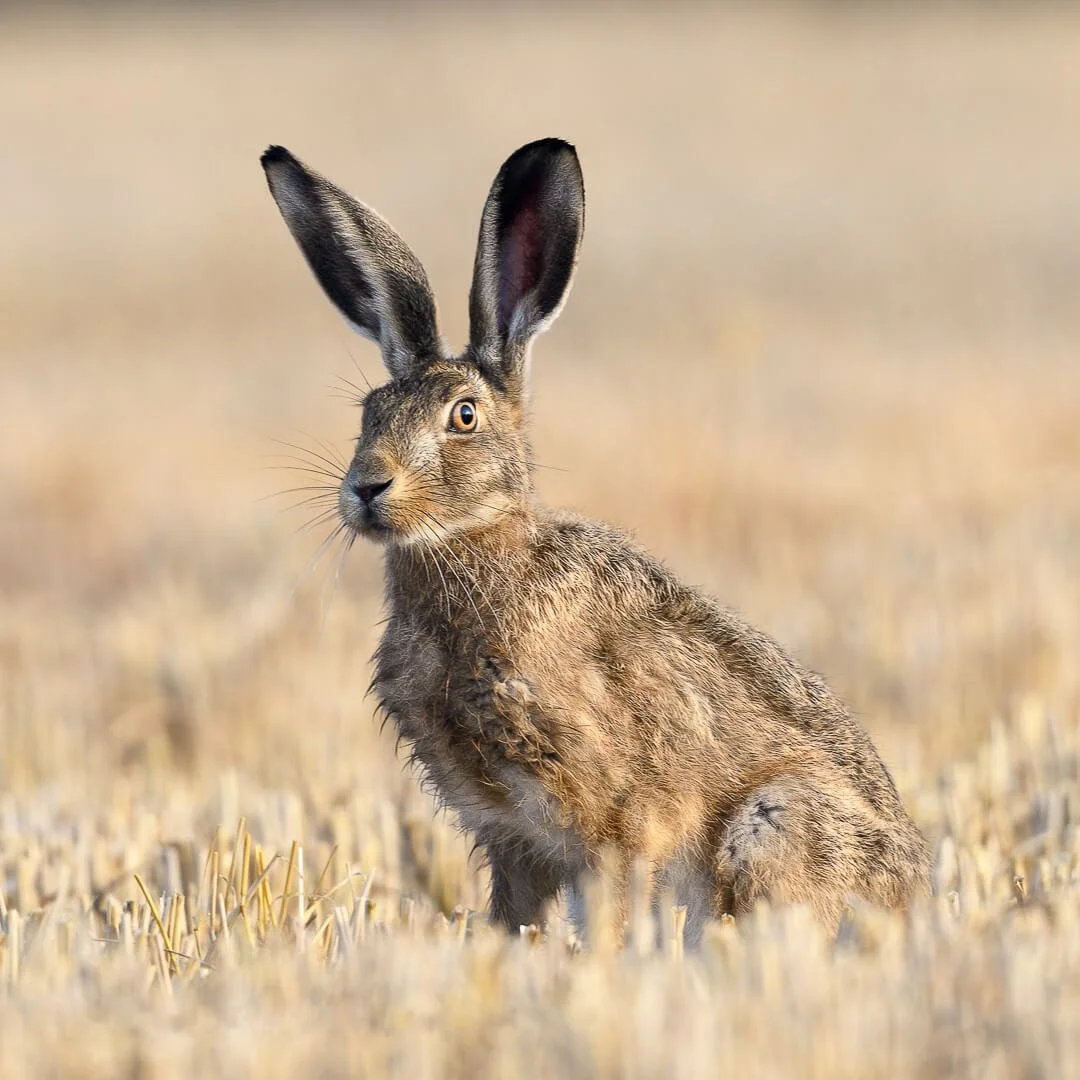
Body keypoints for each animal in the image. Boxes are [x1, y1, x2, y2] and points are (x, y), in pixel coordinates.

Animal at [260, 137, 931, 941]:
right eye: (369, 410)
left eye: (463, 416)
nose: (366, 488)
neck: (479, 548)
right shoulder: (509, 837)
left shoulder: (612, 820)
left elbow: (614, 906)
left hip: (774, 824)